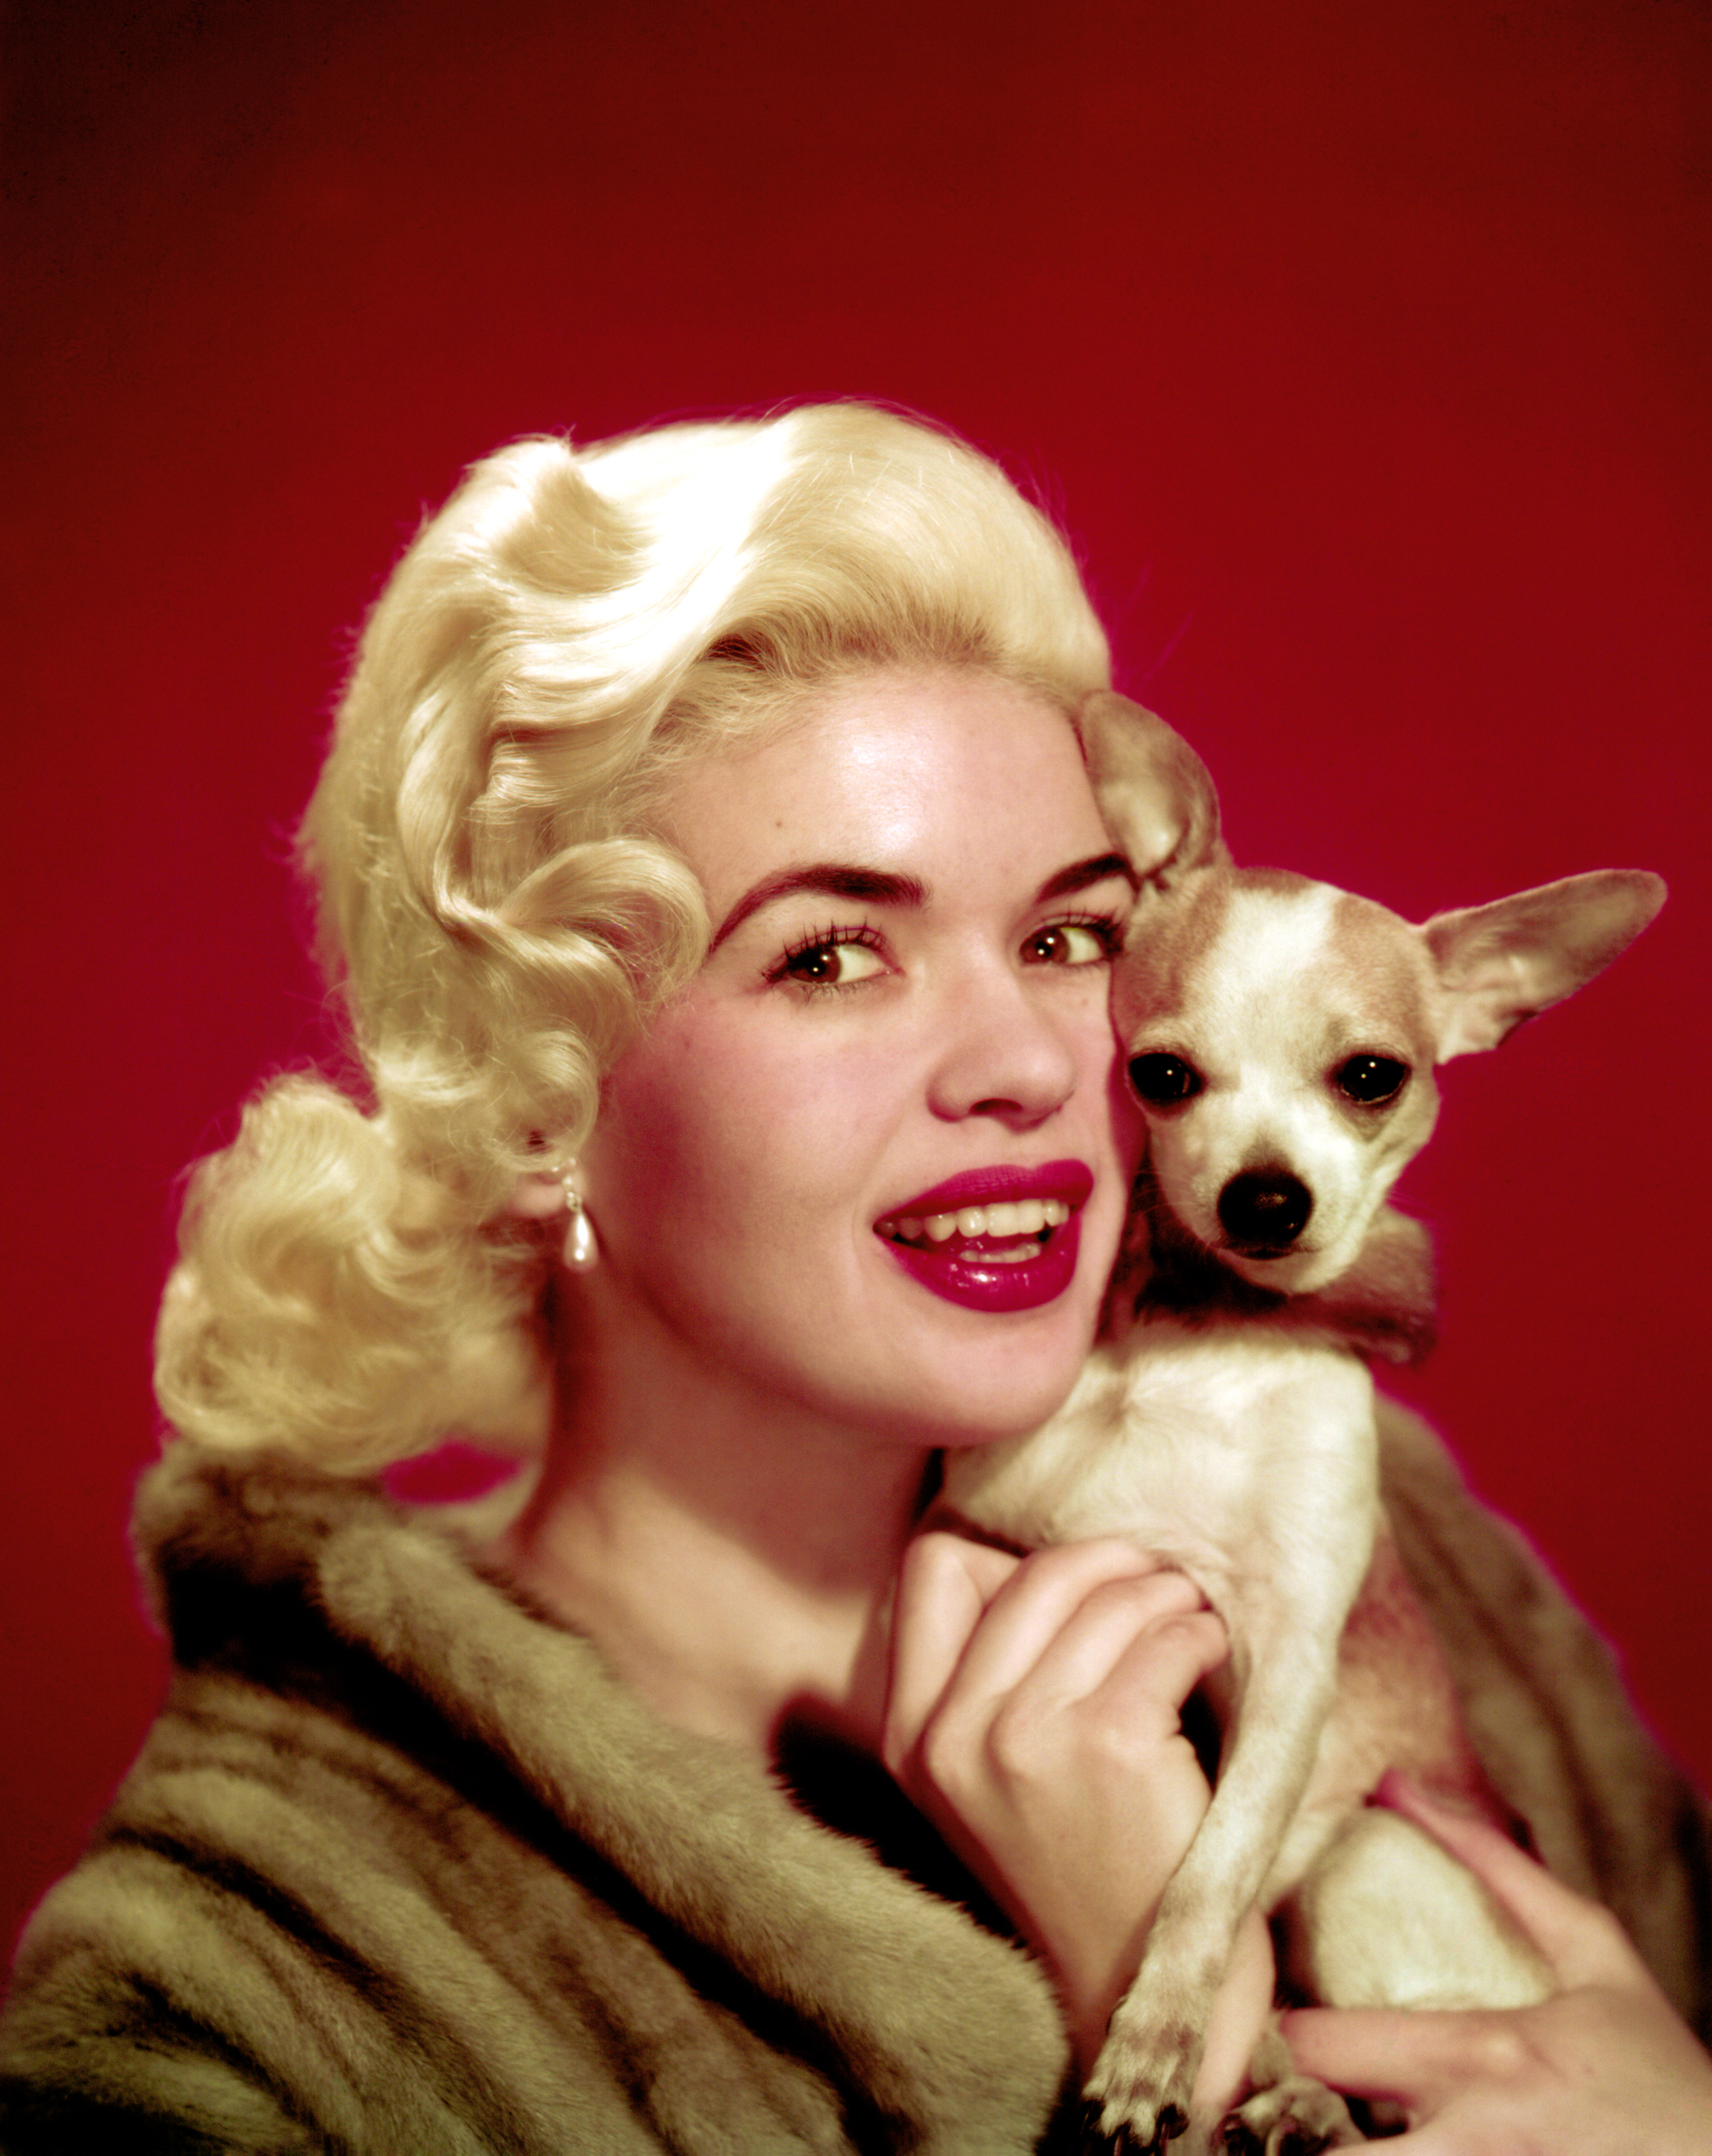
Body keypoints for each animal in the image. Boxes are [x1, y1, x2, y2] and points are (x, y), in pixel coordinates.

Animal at [944, 692, 1666, 2153]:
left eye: (1371, 1078)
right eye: (1161, 1075)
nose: (1268, 1198)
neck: (1200, 1338)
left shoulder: (1288, 1669)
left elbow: (1209, 1878)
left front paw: (1160, 2039)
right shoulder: (981, 1536)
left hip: (1368, 1854)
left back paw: (1298, 2090)